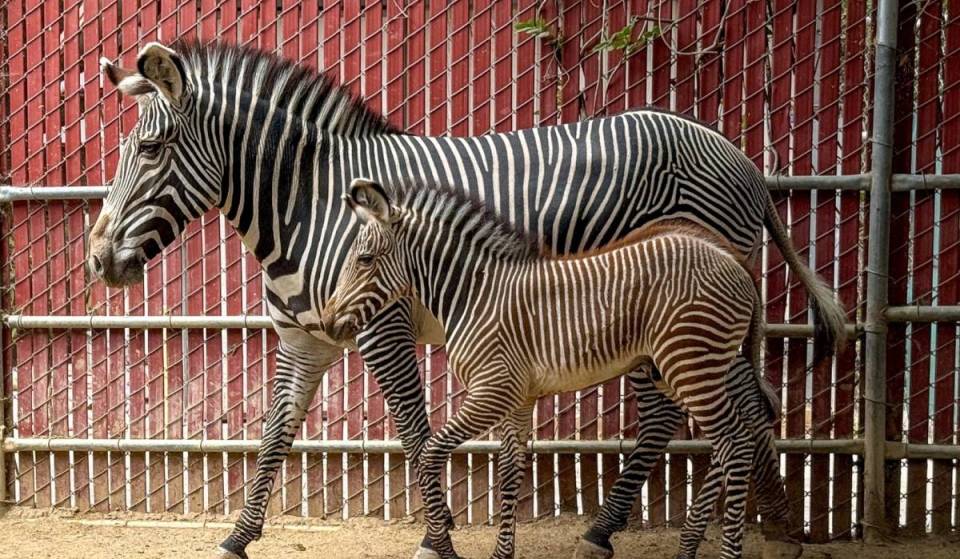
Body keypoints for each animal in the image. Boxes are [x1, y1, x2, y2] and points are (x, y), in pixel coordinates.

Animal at [321, 177, 778, 559]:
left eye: (364, 260)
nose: (326, 324)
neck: (474, 294)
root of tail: (735, 261)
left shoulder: (491, 391)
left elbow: (431, 454)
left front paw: (443, 548)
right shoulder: (517, 399)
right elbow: (509, 471)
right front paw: (500, 554)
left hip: (692, 365)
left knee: (735, 443)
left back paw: (725, 551)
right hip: (697, 368)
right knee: (738, 436)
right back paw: (688, 546)